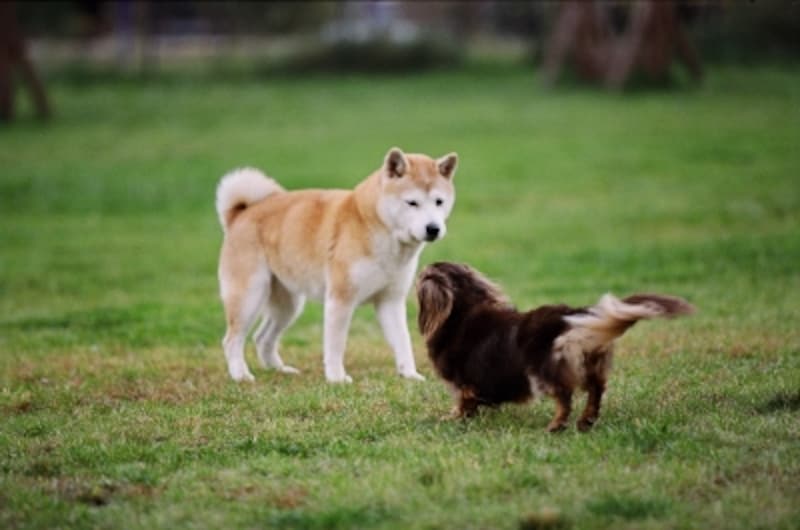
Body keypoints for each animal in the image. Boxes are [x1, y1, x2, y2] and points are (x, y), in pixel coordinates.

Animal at [216, 146, 460, 382]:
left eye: (439, 202)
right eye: (412, 203)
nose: (433, 228)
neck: (374, 226)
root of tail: (242, 213)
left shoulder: (391, 301)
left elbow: (403, 341)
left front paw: (409, 374)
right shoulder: (340, 299)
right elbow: (336, 346)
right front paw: (336, 378)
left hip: (288, 305)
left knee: (262, 337)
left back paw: (280, 370)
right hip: (250, 296)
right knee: (232, 340)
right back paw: (241, 375)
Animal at [418, 262, 692, 432]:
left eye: (423, 273)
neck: (463, 311)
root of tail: (571, 316)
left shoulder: (463, 383)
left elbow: (463, 401)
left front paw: (453, 417)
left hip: (542, 370)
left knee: (565, 398)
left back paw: (556, 425)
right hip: (591, 363)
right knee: (596, 390)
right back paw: (586, 420)